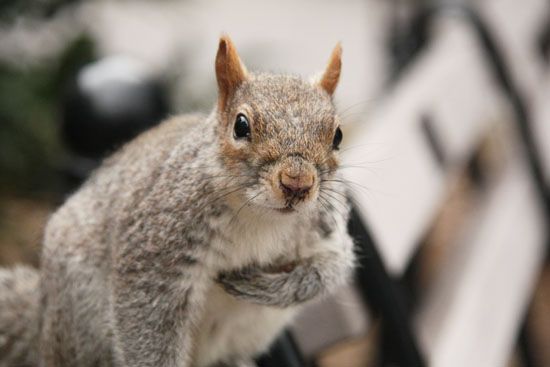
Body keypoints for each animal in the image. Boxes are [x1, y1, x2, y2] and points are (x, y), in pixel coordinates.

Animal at [0, 36, 358, 367]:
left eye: (338, 135)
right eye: (241, 125)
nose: (297, 183)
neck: (262, 216)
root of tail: (42, 320)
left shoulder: (326, 229)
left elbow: (331, 269)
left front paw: (263, 287)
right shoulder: (156, 246)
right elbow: (144, 320)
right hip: (79, 316)